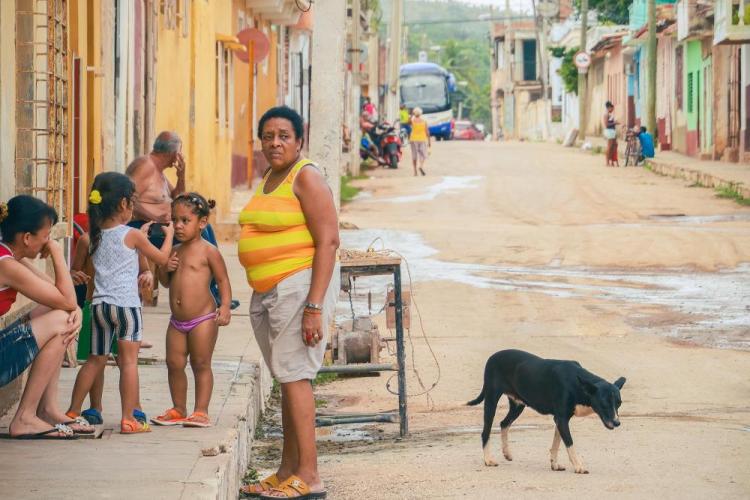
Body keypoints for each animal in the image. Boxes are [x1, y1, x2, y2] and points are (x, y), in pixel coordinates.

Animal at [470, 348, 624, 472]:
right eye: (604, 404)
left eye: (619, 404)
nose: (617, 423)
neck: (576, 384)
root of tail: (492, 356)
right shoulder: (561, 419)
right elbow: (569, 443)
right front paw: (578, 466)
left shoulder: (560, 420)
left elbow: (556, 444)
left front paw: (554, 464)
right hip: (491, 401)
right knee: (486, 432)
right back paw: (488, 460)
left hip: (518, 406)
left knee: (504, 423)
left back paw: (506, 453)